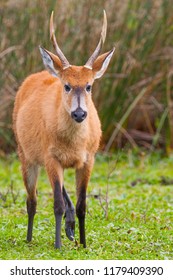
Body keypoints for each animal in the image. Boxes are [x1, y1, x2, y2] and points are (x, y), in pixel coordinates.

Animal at [12, 10, 114, 248]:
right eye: (66, 86)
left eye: (89, 86)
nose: (79, 114)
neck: (73, 144)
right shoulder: (51, 157)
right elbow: (56, 204)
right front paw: (58, 245)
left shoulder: (88, 159)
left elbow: (82, 204)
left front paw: (83, 243)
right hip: (25, 154)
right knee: (32, 200)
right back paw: (29, 238)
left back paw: (70, 228)